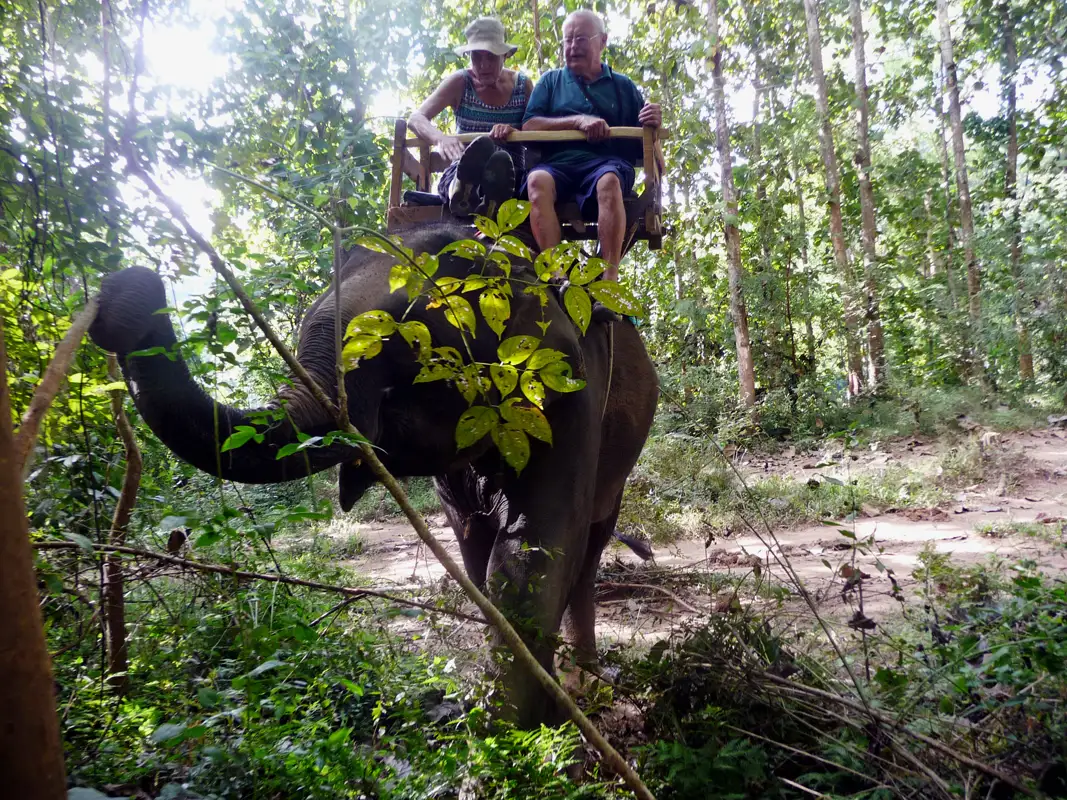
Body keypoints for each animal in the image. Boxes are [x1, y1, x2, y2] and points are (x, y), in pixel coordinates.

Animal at [89, 222, 657, 729]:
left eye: (405, 348)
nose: (125, 290)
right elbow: (478, 548)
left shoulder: (569, 391)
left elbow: (534, 547)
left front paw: (520, 730)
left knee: (592, 544)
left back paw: (585, 679)